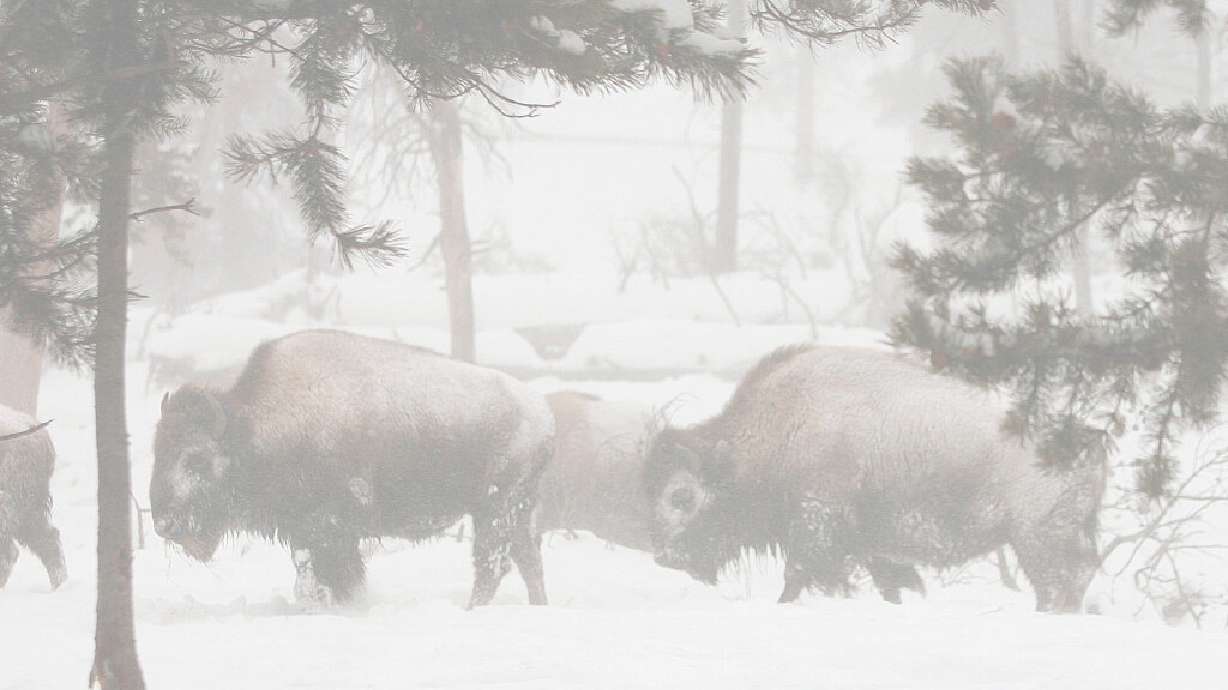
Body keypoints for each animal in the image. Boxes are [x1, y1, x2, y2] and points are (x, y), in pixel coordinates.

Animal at [151, 329, 554, 607]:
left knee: (493, 564)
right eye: (158, 450)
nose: (164, 524)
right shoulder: (304, 534)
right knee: (527, 561)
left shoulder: (330, 531)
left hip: (495, 508)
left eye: (195, 458)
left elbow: (335, 577)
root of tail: (541, 412)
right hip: (513, 512)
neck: (253, 426)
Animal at [645, 345, 1105, 612]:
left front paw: (784, 604)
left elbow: (799, 574)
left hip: (1037, 538)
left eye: (681, 496)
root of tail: (1091, 443)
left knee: (1060, 581)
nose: (666, 557)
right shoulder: (873, 546)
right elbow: (891, 583)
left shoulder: (817, 521)